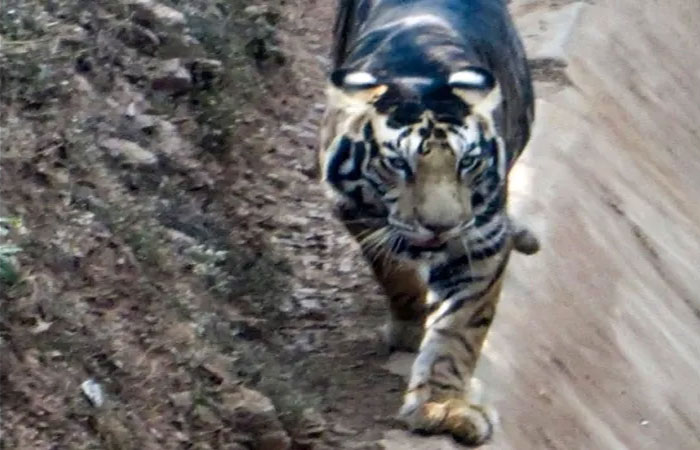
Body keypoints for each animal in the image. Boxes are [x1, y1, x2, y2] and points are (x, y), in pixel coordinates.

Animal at [318, 0, 538, 445]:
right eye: (399, 165)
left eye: (467, 162)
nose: (441, 226)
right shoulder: (357, 214)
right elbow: (395, 274)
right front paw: (409, 326)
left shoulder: (480, 241)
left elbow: (459, 330)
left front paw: (442, 407)